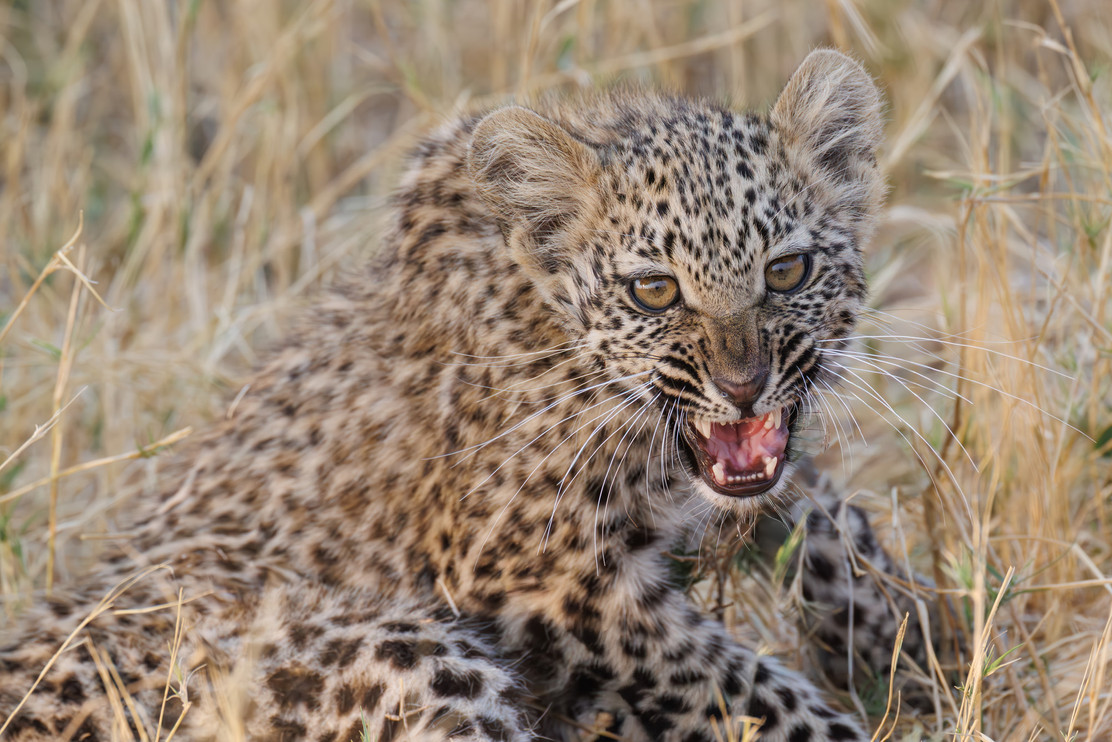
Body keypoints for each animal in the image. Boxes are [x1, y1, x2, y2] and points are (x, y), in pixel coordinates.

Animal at [0, 49, 940, 742]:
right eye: (654, 291)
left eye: (787, 272)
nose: (743, 386)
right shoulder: (543, 574)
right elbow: (737, 685)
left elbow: (839, 535)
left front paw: (920, 652)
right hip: (410, 658)